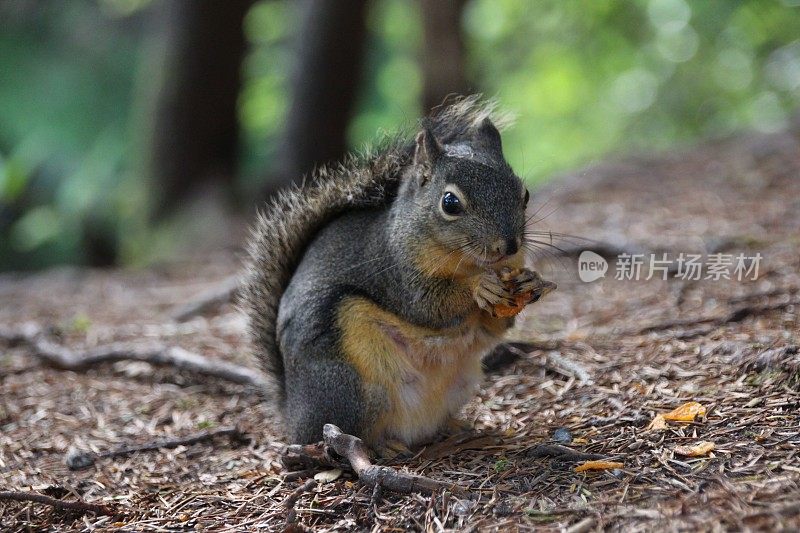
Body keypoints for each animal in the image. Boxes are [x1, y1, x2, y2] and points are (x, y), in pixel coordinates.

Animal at [242, 96, 556, 458]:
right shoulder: (397, 273)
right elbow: (429, 306)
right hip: (350, 390)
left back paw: (454, 428)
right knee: (347, 431)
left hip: (462, 384)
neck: (467, 262)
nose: (509, 245)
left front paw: (532, 282)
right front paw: (480, 287)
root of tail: (292, 414)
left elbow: (496, 326)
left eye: (525, 193)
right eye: (450, 202)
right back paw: (380, 446)